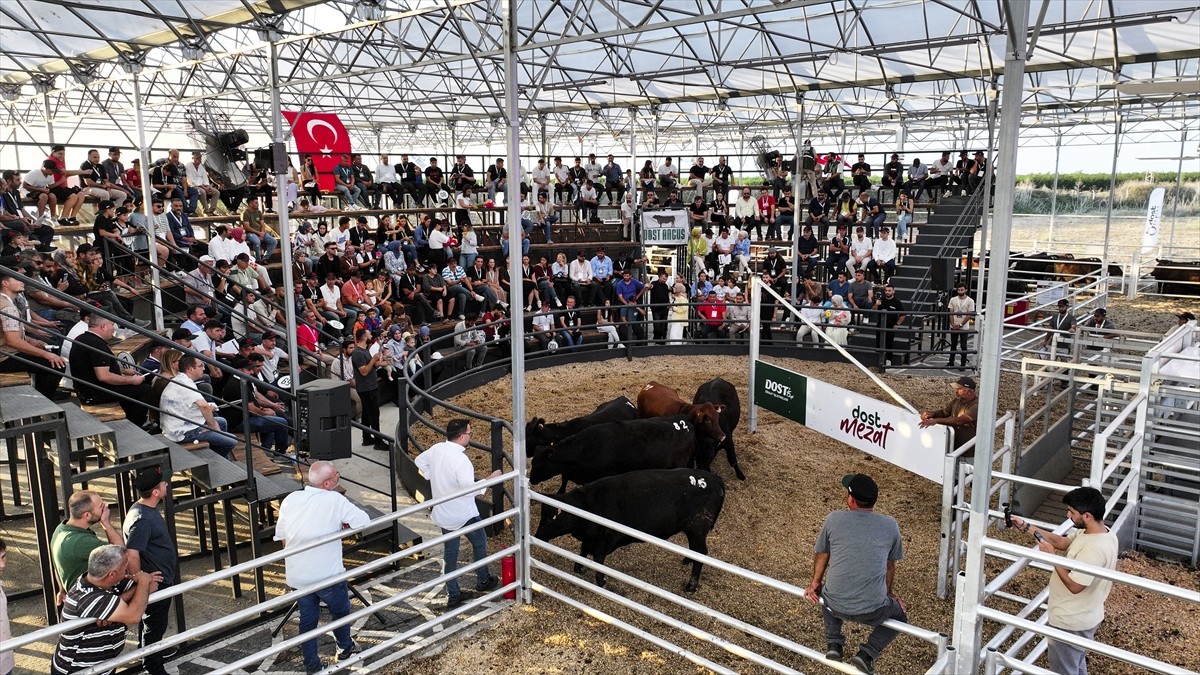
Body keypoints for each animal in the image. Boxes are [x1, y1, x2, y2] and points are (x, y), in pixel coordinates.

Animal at [532, 468, 720, 588]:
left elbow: (598, 559)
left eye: (550, 518)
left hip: (698, 529)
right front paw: (579, 568)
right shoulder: (589, 539)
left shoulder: (606, 540)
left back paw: (691, 585)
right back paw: (687, 560)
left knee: (701, 553)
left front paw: (601, 581)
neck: (589, 506)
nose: (537, 535)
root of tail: (717, 481)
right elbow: (583, 552)